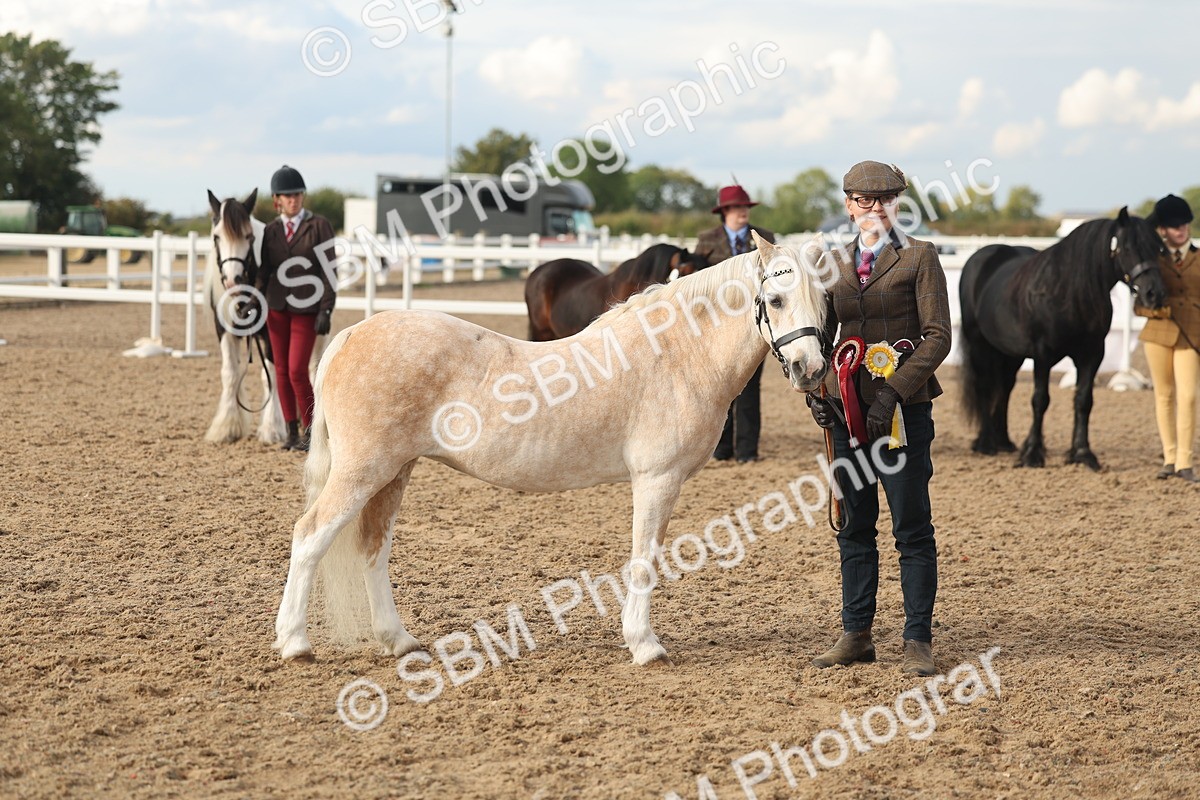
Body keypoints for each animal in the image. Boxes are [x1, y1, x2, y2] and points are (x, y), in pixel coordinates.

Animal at [203, 189, 287, 445]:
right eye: (216, 236)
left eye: (249, 237)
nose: (233, 279)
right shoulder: (224, 331)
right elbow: (230, 374)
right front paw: (227, 428)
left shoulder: (270, 333)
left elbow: (271, 376)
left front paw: (271, 428)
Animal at [959, 207, 1167, 471]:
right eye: (1127, 247)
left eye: (1157, 248)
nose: (1154, 294)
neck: (1069, 292)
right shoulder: (1042, 355)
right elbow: (1040, 400)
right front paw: (1033, 454)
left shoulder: (1092, 355)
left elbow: (1084, 401)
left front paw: (1082, 453)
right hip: (979, 344)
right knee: (984, 386)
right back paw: (986, 443)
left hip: (1010, 353)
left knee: (1005, 388)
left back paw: (1004, 441)